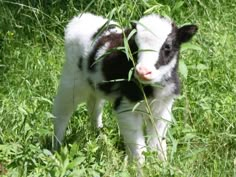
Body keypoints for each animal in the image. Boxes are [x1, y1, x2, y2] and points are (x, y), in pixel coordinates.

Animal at [53, 13, 197, 164]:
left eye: (167, 47)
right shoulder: (126, 107)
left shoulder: (164, 107)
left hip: (94, 84)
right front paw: (140, 167)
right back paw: (56, 148)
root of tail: (80, 18)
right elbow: (138, 146)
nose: (143, 71)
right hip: (71, 81)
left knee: (95, 106)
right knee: (61, 112)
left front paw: (161, 164)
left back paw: (98, 135)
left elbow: (157, 142)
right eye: (135, 46)